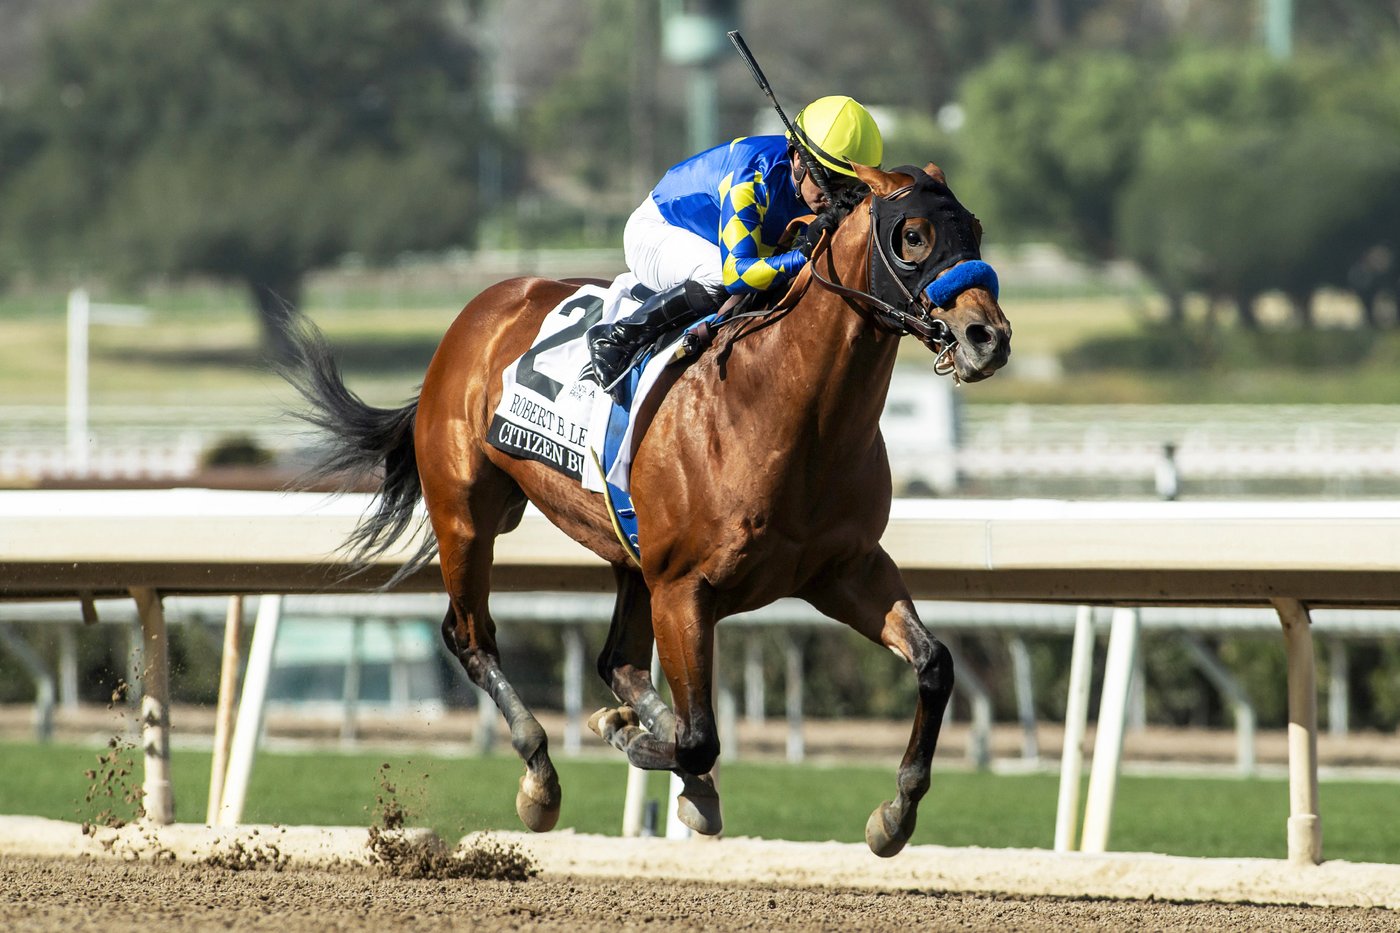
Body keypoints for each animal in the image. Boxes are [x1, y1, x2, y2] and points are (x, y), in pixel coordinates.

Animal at [284, 161, 1011, 857]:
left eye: (975, 229)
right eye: (912, 236)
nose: (989, 337)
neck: (782, 407)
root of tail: (477, 312)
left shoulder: (844, 569)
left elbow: (935, 664)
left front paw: (895, 814)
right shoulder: (685, 586)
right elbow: (700, 736)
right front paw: (633, 742)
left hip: (628, 553)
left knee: (617, 662)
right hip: (468, 514)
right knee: (472, 635)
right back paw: (542, 776)